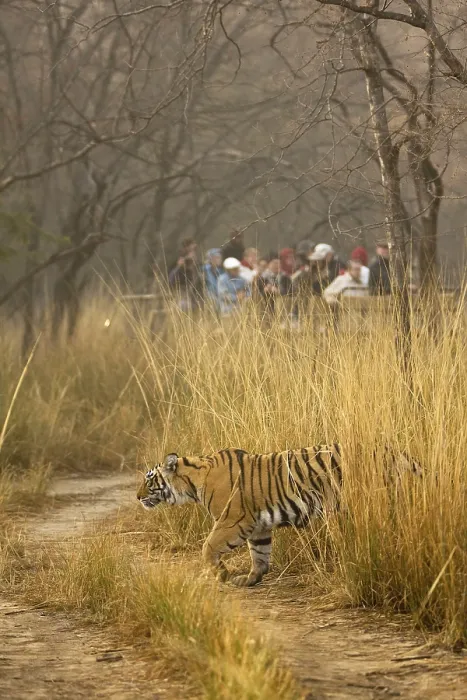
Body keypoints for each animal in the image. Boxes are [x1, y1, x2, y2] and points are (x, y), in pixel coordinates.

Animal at [137, 444, 422, 587]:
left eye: (149, 480)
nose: (137, 497)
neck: (192, 482)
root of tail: (395, 451)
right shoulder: (258, 526)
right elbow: (260, 555)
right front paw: (248, 579)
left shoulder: (232, 520)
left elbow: (208, 547)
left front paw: (222, 574)